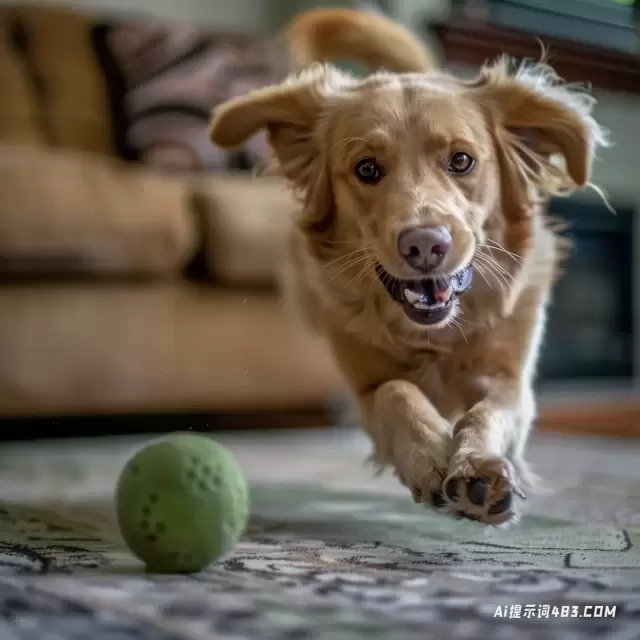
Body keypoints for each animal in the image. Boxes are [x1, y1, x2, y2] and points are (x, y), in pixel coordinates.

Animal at [210, 7, 608, 524]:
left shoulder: (508, 376)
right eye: (366, 169)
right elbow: (396, 392)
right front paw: (429, 455)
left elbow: (488, 411)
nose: (425, 245)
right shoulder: (367, 380)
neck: (434, 337)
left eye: (461, 160)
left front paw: (478, 468)